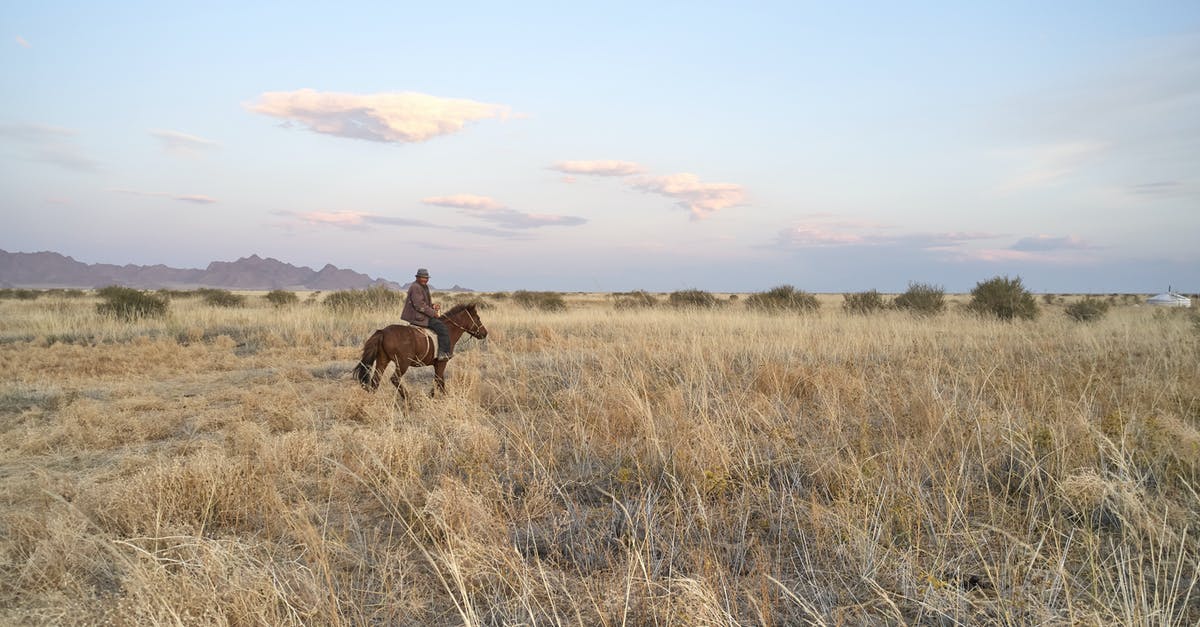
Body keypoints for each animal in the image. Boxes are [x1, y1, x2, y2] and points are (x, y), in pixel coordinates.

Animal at [350, 302, 487, 396]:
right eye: (478, 318)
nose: (485, 333)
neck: (448, 330)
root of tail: (383, 332)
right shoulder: (442, 362)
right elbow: (439, 381)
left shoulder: (437, 364)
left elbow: (439, 381)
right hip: (403, 363)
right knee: (394, 379)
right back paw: (408, 399)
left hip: (382, 360)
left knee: (375, 381)